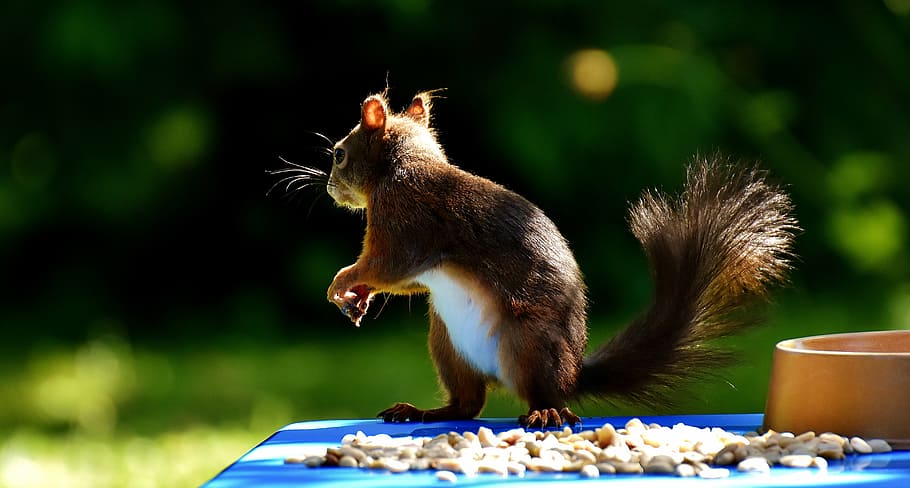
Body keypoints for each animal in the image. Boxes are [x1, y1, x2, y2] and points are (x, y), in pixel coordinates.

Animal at [317, 90, 797, 428]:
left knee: (540, 396)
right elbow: (405, 281)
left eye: (339, 154)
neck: (401, 165)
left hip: (528, 340)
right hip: (447, 344)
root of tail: (571, 374)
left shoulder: (404, 223)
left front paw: (342, 282)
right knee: (468, 405)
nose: (328, 187)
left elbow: (388, 267)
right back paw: (422, 411)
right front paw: (356, 297)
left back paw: (546, 413)